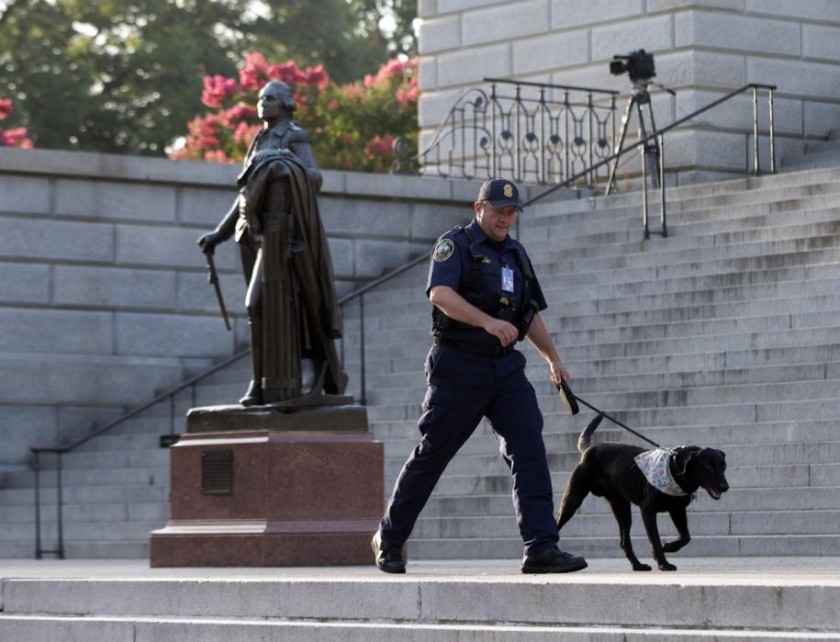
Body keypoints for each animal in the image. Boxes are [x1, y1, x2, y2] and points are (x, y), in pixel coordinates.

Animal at [556, 416, 724, 568]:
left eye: (723, 466)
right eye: (708, 466)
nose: (725, 486)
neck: (675, 467)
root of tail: (589, 450)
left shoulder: (678, 510)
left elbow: (686, 537)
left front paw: (669, 547)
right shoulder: (648, 510)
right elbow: (655, 539)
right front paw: (663, 563)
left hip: (622, 510)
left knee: (624, 542)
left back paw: (638, 565)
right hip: (572, 500)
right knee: (557, 524)